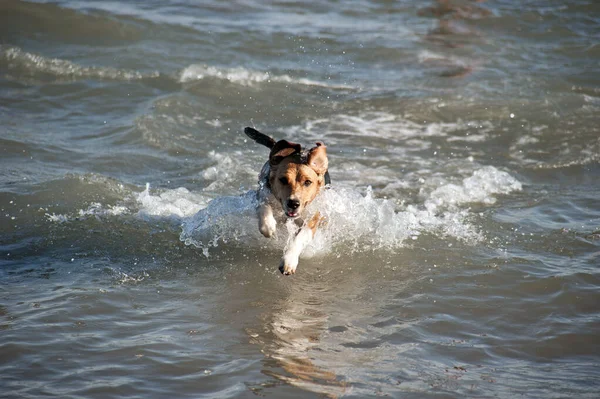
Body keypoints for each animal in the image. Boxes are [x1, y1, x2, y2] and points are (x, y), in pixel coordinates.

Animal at [244, 127, 330, 276]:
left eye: (308, 182)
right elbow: (264, 209)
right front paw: (269, 226)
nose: (293, 203)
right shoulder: (263, 194)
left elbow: (298, 239)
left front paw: (288, 261)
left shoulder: (312, 219)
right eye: (283, 180)